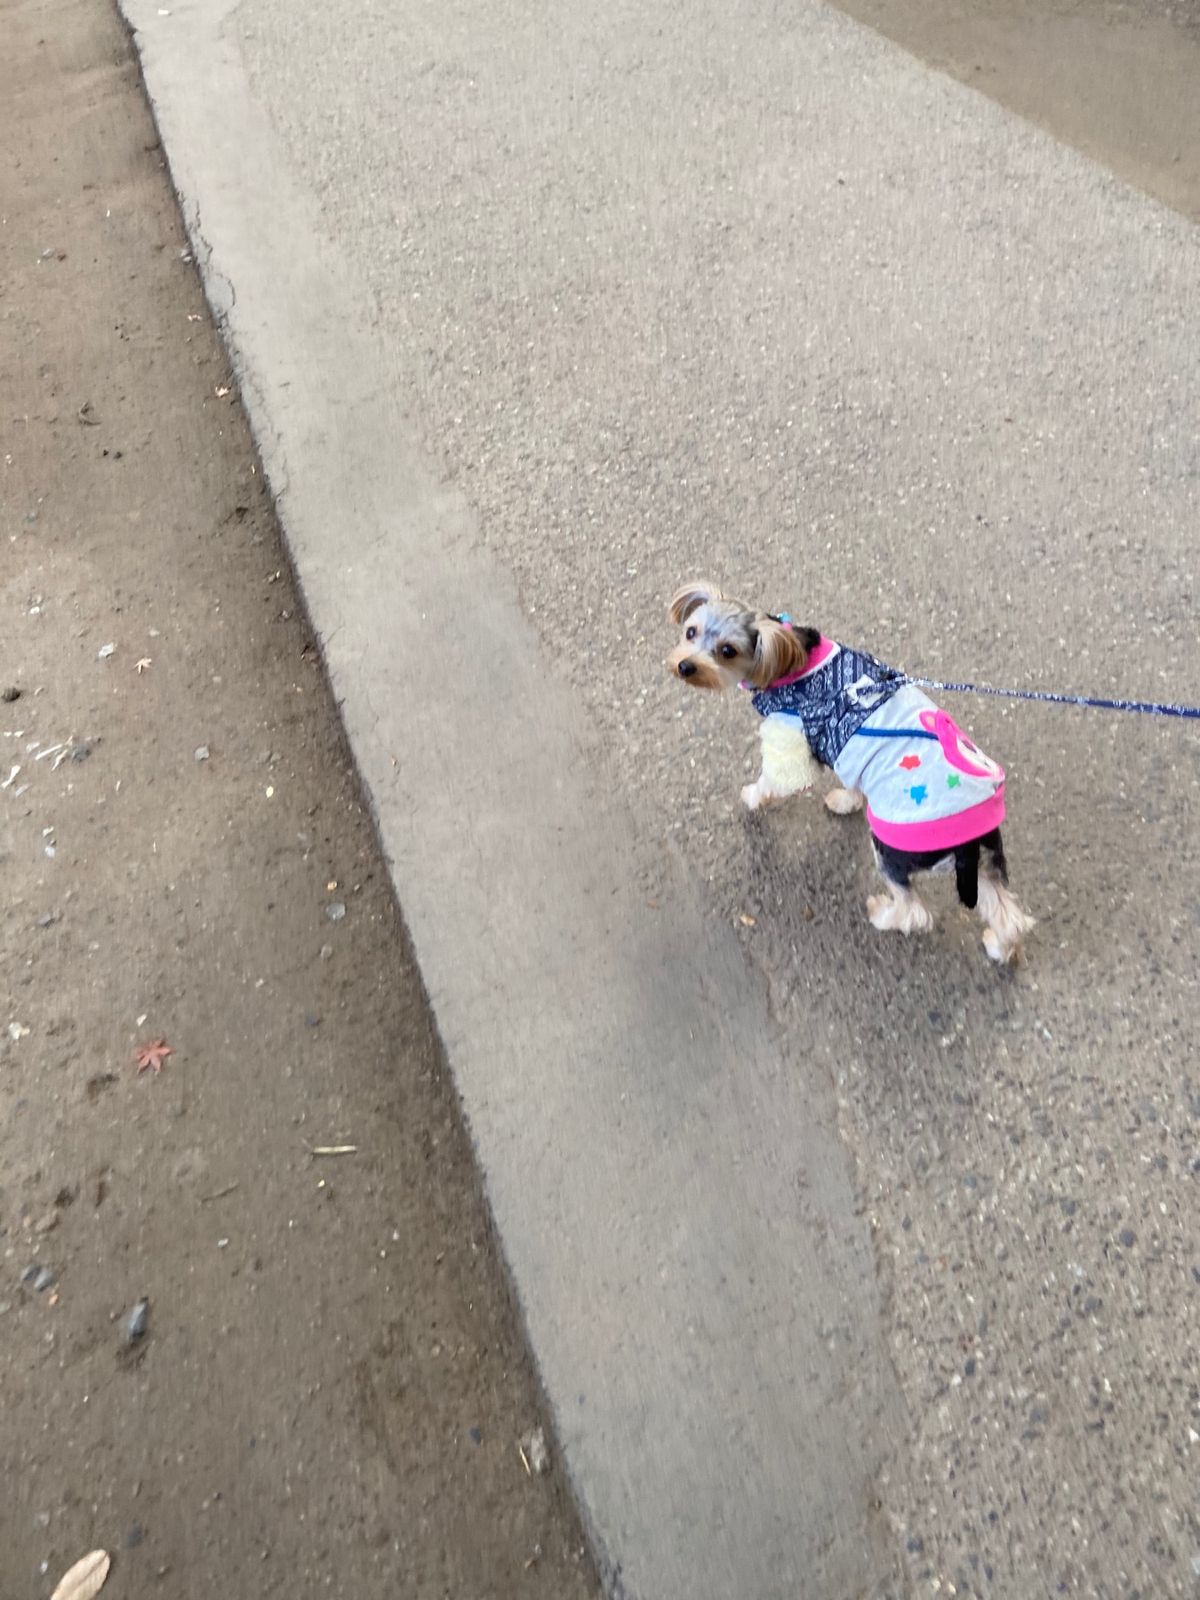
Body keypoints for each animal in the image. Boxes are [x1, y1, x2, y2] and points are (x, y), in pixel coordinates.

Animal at [668, 582, 1034, 962]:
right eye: (690, 632)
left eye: (727, 651)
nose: (685, 666)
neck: (793, 658)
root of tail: (968, 841)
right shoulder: (845, 745)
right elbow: (852, 779)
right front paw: (847, 801)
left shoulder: (790, 733)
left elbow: (777, 779)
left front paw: (754, 796)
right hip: (987, 859)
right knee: (1008, 914)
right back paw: (1000, 946)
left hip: (893, 850)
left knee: (914, 912)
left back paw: (883, 914)